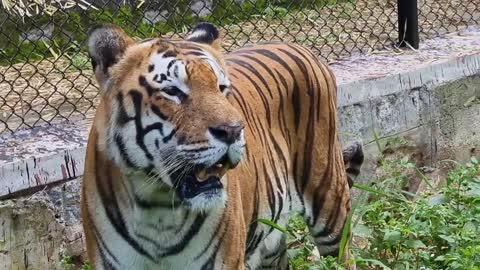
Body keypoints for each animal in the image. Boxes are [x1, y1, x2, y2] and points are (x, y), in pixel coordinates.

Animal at [80, 21, 364, 270]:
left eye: (221, 87)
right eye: (172, 91)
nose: (233, 131)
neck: (158, 209)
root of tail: (301, 47)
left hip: (330, 200)